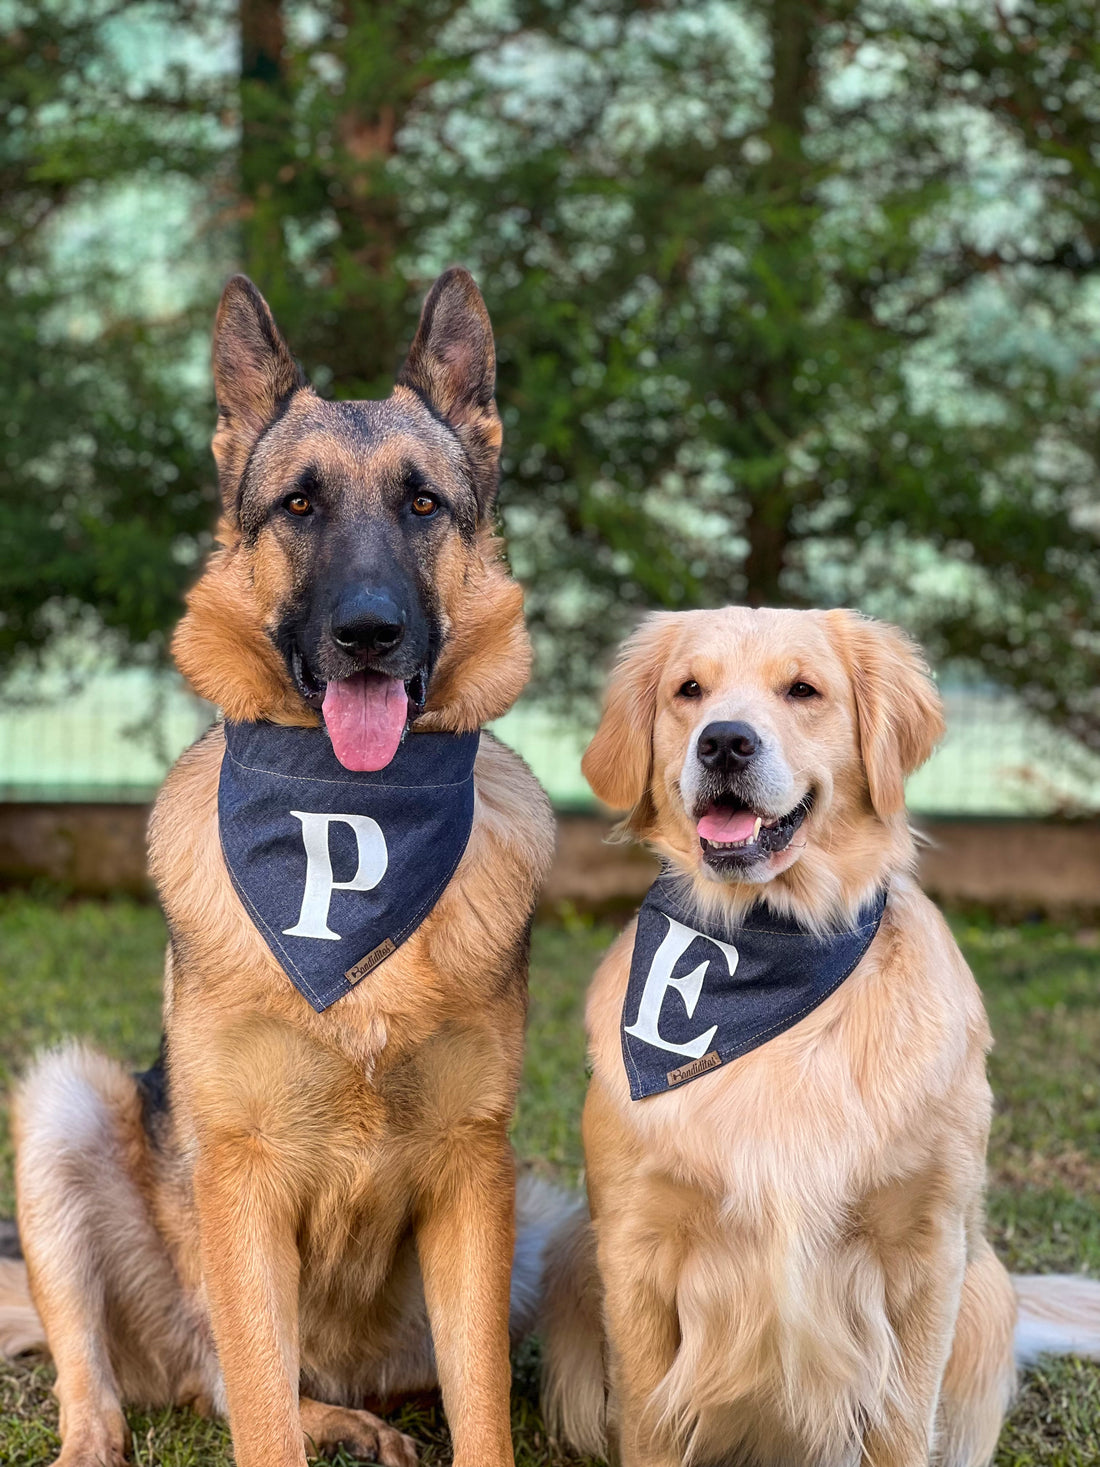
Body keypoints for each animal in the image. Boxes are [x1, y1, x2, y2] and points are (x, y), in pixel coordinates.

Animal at [0, 266, 569, 1467]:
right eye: (299, 507)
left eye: (422, 505)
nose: (369, 633)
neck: (348, 819)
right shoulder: (241, 1178)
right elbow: (259, 1407)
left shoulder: (475, 1172)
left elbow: (482, 1403)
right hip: (64, 1109)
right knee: (142, 1380)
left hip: (540, 1218)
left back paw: (356, 1420)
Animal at [539, 607, 1100, 1467]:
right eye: (688, 689)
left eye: (803, 689)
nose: (724, 741)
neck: (774, 951)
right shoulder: (636, 1243)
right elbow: (649, 1424)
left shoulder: (925, 1249)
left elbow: (901, 1429)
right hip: (575, 1252)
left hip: (985, 1292)